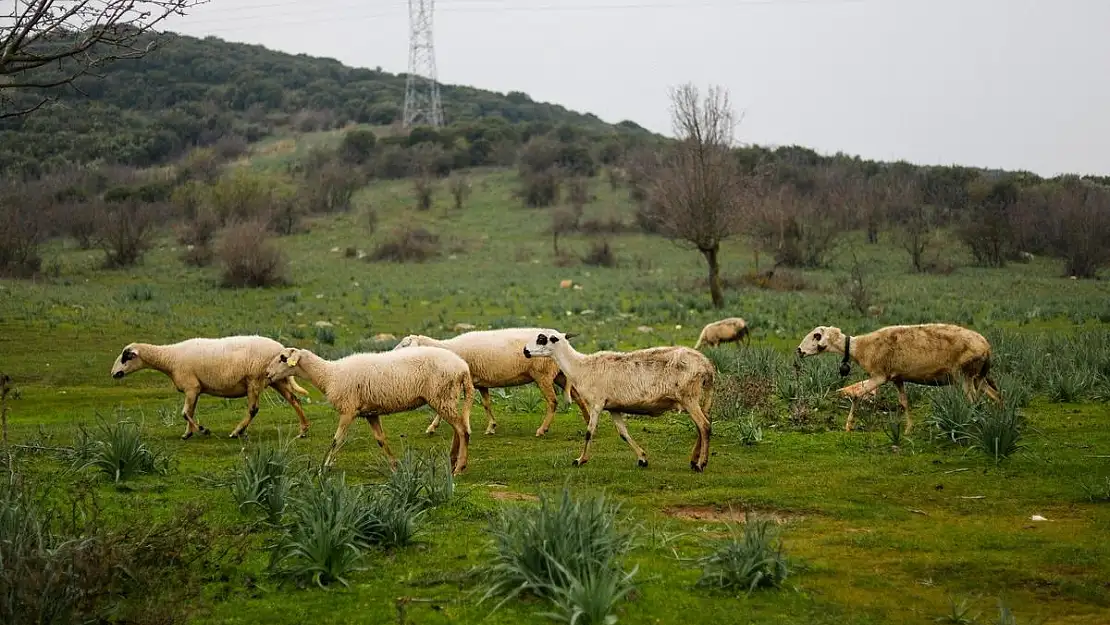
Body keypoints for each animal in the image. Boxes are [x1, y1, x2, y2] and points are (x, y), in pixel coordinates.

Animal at [109, 337, 313, 439]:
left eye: (126, 357)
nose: (114, 373)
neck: (169, 359)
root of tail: (281, 348)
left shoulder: (191, 386)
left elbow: (185, 413)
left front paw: (202, 430)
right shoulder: (195, 389)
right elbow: (190, 412)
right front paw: (187, 433)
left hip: (254, 380)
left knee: (253, 409)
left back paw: (237, 432)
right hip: (277, 379)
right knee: (294, 400)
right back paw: (303, 430)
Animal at [268, 344, 477, 472]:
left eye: (282, 358)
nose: (267, 373)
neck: (329, 375)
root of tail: (463, 367)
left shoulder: (348, 410)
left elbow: (337, 440)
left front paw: (324, 466)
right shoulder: (370, 413)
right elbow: (380, 440)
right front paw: (394, 466)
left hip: (441, 396)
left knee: (462, 430)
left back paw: (460, 467)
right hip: (447, 397)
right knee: (458, 429)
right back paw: (453, 460)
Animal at [395, 330, 594, 437]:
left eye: (405, 345)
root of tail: (563, 337)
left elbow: (445, 407)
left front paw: (432, 427)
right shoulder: (481, 382)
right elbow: (486, 404)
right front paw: (491, 426)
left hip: (543, 374)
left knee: (553, 402)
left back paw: (542, 429)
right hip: (559, 373)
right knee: (577, 396)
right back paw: (588, 421)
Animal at [521, 330, 714, 472]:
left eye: (542, 339)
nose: (525, 351)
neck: (580, 367)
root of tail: (707, 366)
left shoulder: (597, 404)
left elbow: (589, 432)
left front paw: (580, 459)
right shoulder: (613, 407)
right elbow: (623, 434)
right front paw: (642, 458)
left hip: (689, 397)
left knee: (704, 426)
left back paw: (701, 464)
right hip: (699, 398)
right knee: (703, 426)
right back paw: (694, 460)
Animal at [794, 321, 1003, 435]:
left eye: (816, 335)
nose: (799, 350)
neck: (860, 347)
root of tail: (986, 347)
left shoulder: (880, 376)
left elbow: (857, 395)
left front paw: (848, 426)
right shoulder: (897, 378)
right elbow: (904, 402)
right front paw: (909, 429)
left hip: (965, 375)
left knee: (973, 401)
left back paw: (972, 427)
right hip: (979, 377)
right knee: (996, 396)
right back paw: (998, 420)